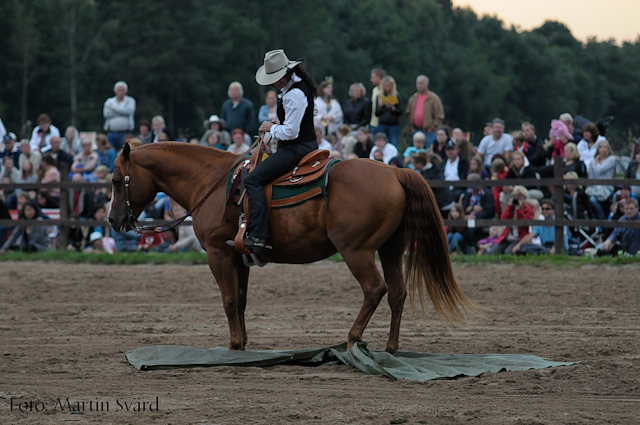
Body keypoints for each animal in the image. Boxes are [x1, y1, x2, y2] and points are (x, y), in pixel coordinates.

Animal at [107, 142, 476, 352]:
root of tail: (397, 172)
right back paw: (391, 347)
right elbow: (241, 301)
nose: (112, 220)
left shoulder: (218, 253)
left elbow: (228, 301)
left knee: (375, 288)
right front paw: (244, 344)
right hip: (390, 248)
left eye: (114, 180)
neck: (211, 182)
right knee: (397, 293)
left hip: (356, 250)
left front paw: (233, 344)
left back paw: (353, 339)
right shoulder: (239, 256)